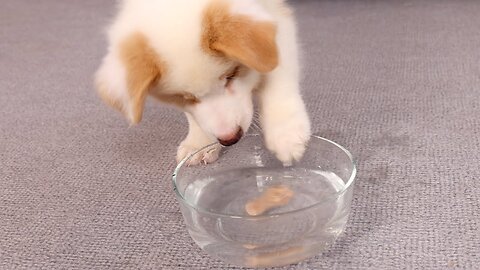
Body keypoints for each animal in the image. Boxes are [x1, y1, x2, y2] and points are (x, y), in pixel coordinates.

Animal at [94, 0, 312, 166]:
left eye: (231, 75)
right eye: (184, 97)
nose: (230, 138)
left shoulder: (277, 21)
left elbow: (277, 76)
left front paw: (286, 133)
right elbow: (194, 115)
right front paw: (200, 143)